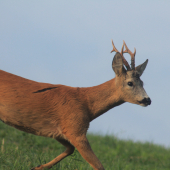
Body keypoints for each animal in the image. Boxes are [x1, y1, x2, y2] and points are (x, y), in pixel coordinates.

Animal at [0, 39, 151, 169]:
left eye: (143, 82)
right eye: (130, 83)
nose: (147, 100)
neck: (86, 104)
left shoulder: (60, 131)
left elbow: (70, 149)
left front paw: (38, 167)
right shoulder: (75, 128)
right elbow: (98, 165)